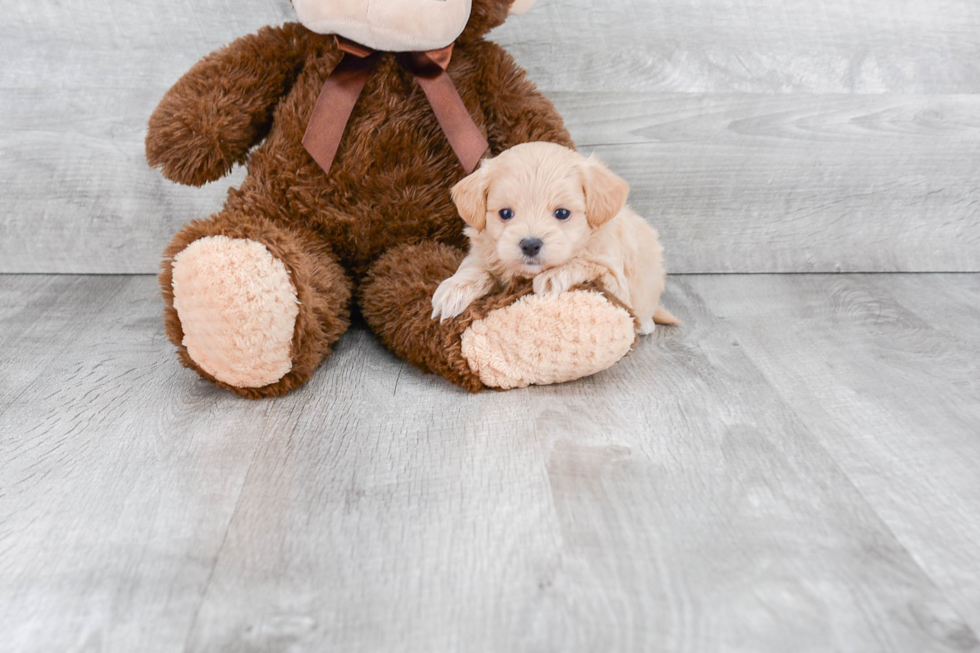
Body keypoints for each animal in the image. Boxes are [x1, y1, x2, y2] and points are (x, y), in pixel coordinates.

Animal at [432, 143, 676, 336]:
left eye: (562, 213)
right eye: (505, 213)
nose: (530, 245)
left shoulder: (616, 282)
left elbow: (587, 263)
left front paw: (554, 275)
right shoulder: (483, 252)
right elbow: (475, 268)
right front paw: (453, 290)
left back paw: (645, 323)